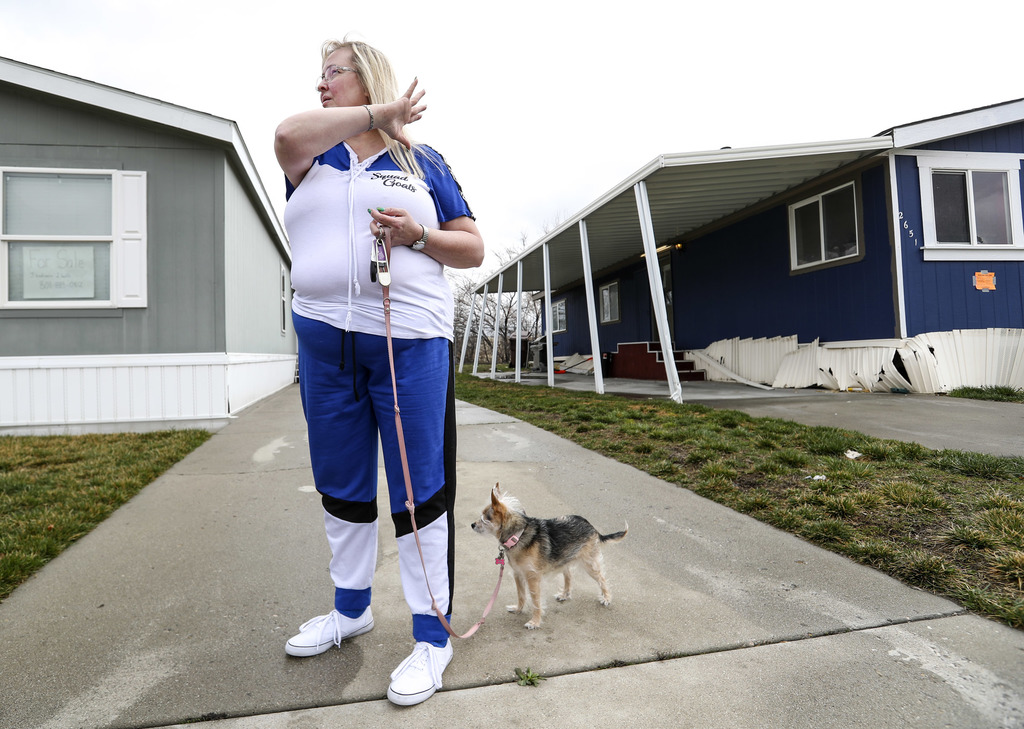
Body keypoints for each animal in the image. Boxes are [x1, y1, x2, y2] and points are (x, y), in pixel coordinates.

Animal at [468, 481, 626, 630]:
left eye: (485, 518)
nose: (472, 525)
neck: (518, 536)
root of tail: (591, 526)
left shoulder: (533, 578)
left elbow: (535, 602)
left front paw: (535, 622)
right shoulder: (518, 574)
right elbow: (521, 595)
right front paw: (519, 609)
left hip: (589, 564)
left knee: (602, 579)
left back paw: (606, 598)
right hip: (564, 560)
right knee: (569, 575)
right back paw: (565, 594)